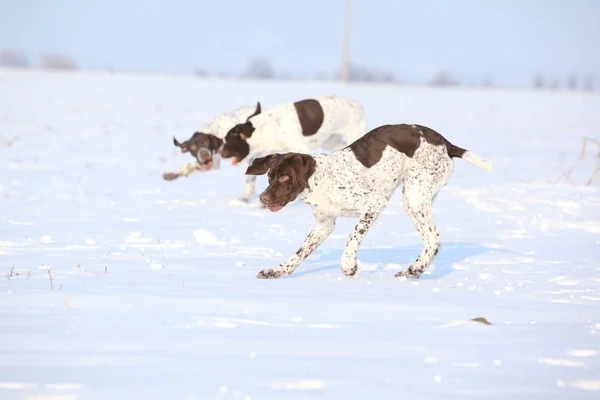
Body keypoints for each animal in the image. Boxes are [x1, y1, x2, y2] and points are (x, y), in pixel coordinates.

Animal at [244, 123, 492, 280]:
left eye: (285, 177)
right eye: (269, 176)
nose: (264, 198)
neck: (320, 181)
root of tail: (446, 144)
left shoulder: (374, 204)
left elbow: (352, 237)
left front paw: (349, 266)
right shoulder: (324, 224)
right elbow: (298, 253)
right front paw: (277, 271)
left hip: (415, 194)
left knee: (434, 238)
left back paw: (414, 269)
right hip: (412, 200)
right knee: (432, 241)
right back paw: (414, 271)